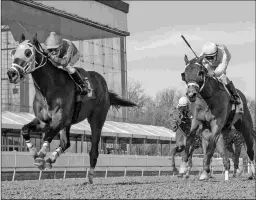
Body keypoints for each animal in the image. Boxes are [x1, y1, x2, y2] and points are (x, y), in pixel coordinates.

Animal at [6, 33, 136, 184]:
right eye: (14, 52)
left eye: (28, 52)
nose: (11, 73)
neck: (49, 89)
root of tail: (105, 88)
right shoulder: (44, 122)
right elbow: (25, 130)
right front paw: (34, 153)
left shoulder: (60, 120)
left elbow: (48, 136)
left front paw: (40, 156)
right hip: (69, 123)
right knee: (65, 143)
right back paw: (50, 160)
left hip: (97, 120)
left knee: (93, 150)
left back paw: (90, 177)